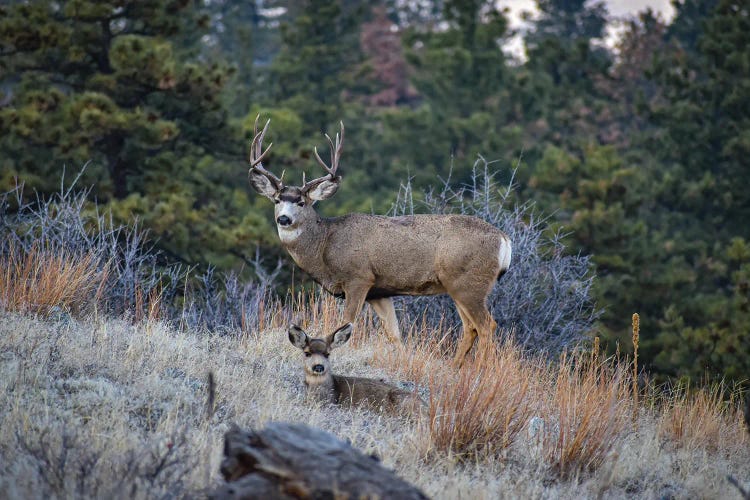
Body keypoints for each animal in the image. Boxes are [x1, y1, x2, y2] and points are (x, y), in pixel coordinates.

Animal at [250, 117, 516, 368]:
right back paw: (455, 367)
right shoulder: (379, 292)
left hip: (469, 282)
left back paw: (479, 371)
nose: (284, 219)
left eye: (301, 202)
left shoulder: (359, 278)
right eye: (277, 200)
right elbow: (394, 334)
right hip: (457, 285)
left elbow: (347, 324)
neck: (324, 245)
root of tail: (504, 239)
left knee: (486, 325)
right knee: (471, 328)